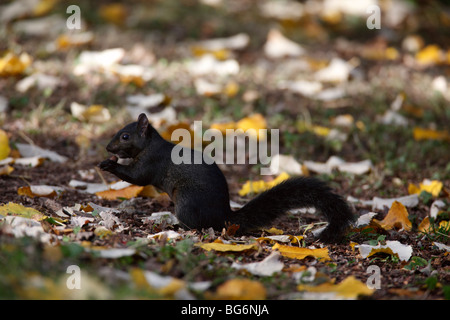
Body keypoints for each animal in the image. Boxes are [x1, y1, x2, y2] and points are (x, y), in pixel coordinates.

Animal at [99, 114, 356, 241]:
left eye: (125, 136)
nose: (108, 148)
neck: (149, 145)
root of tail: (224, 217)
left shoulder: (151, 162)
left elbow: (137, 177)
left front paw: (109, 164)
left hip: (187, 202)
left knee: (198, 225)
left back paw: (176, 225)